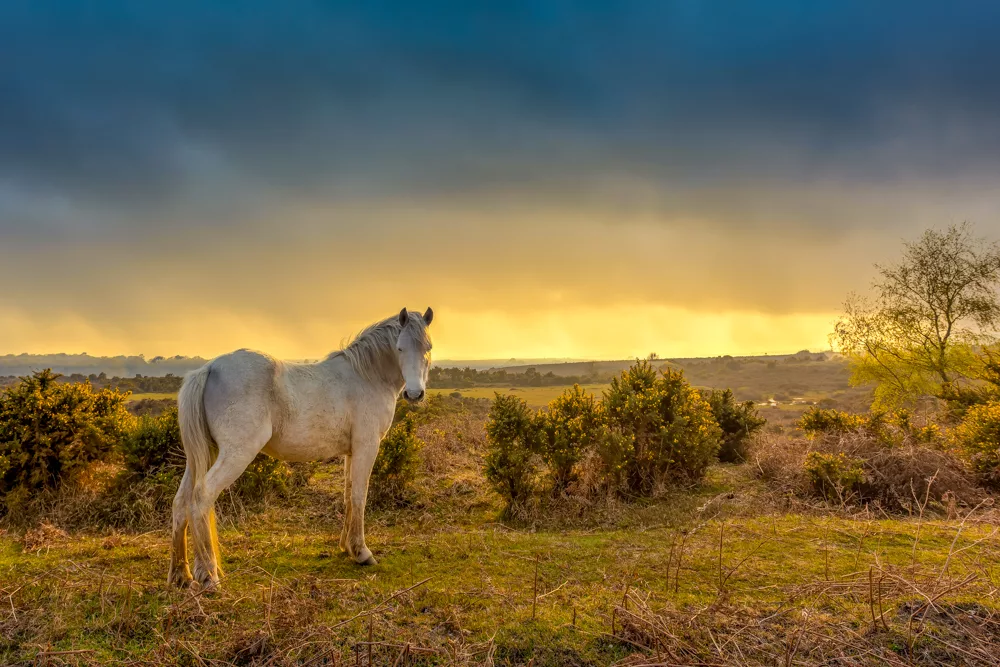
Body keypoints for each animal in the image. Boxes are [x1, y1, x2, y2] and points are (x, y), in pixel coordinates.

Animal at [169, 310, 434, 588]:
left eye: (427, 347)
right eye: (400, 347)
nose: (414, 394)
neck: (367, 376)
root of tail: (209, 368)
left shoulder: (351, 452)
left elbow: (348, 495)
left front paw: (346, 546)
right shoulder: (367, 446)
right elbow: (359, 496)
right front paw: (362, 552)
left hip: (201, 457)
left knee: (181, 502)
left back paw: (180, 574)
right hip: (235, 454)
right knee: (201, 497)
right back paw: (209, 575)